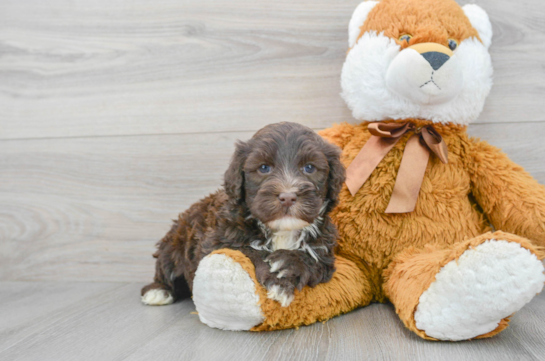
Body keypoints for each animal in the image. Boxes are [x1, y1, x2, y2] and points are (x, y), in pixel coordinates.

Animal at [140, 121, 344, 306]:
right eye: (264, 168)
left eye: (309, 168)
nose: (287, 197)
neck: (281, 230)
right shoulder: (215, 242)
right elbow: (247, 251)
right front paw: (277, 282)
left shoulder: (324, 251)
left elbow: (314, 260)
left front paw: (287, 263)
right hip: (173, 245)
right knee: (165, 269)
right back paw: (158, 291)